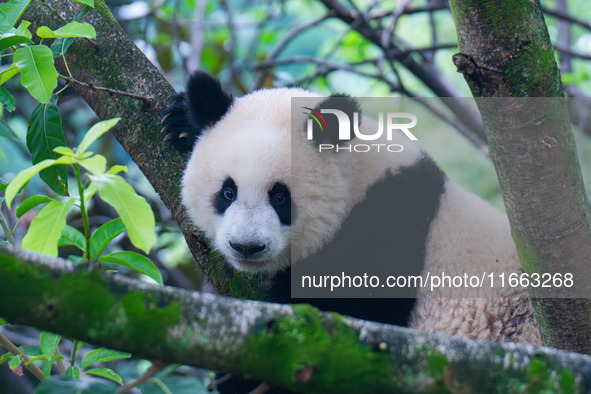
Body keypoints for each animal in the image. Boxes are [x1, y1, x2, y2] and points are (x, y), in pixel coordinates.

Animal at [161, 71, 540, 344]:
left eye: (280, 197)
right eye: (228, 192)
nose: (247, 246)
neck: (359, 177)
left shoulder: (385, 231)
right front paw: (180, 119)